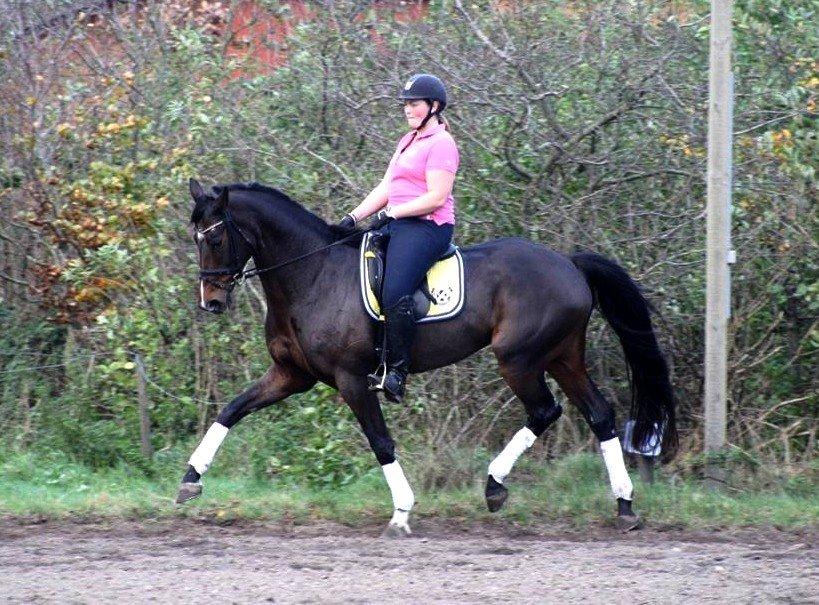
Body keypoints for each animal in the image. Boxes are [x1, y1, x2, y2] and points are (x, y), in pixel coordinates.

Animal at [178, 178, 680, 532]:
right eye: (196, 238)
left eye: (216, 238)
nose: (211, 302)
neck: (313, 273)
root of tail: (569, 264)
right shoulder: (289, 375)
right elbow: (230, 410)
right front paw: (190, 478)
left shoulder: (350, 379)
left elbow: (381, 442)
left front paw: (402, 512)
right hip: (562, 356)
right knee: (599, 415)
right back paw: (623, 505)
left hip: (518, 358)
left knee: (545, 410)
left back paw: (495, 486)